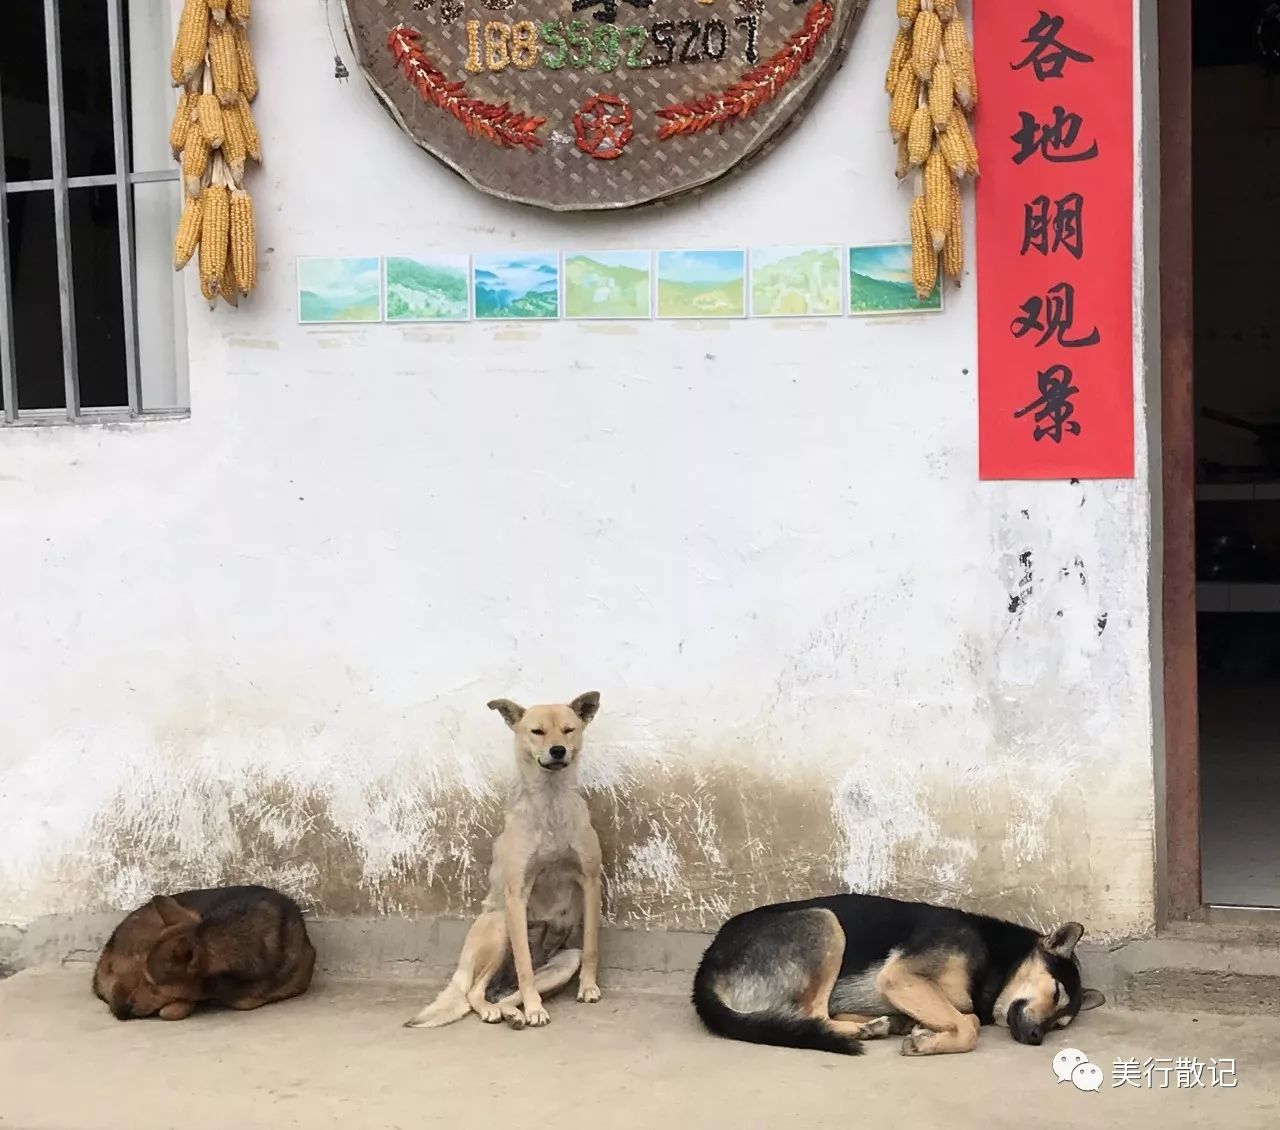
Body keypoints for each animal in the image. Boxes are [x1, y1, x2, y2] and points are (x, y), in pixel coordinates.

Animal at [696, 895, 1105, 1054]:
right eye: (1056, 993)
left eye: (1060, 1025)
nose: (1037, 1038)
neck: (994, 960)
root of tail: (707, 964)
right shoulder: (902, 977)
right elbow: (969, 1024)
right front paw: (928, 1042)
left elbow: (967, 1018)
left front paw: (924, 1033)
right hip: (824, 922)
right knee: (812, 1015)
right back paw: (866, 1028)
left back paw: (885, 1023)